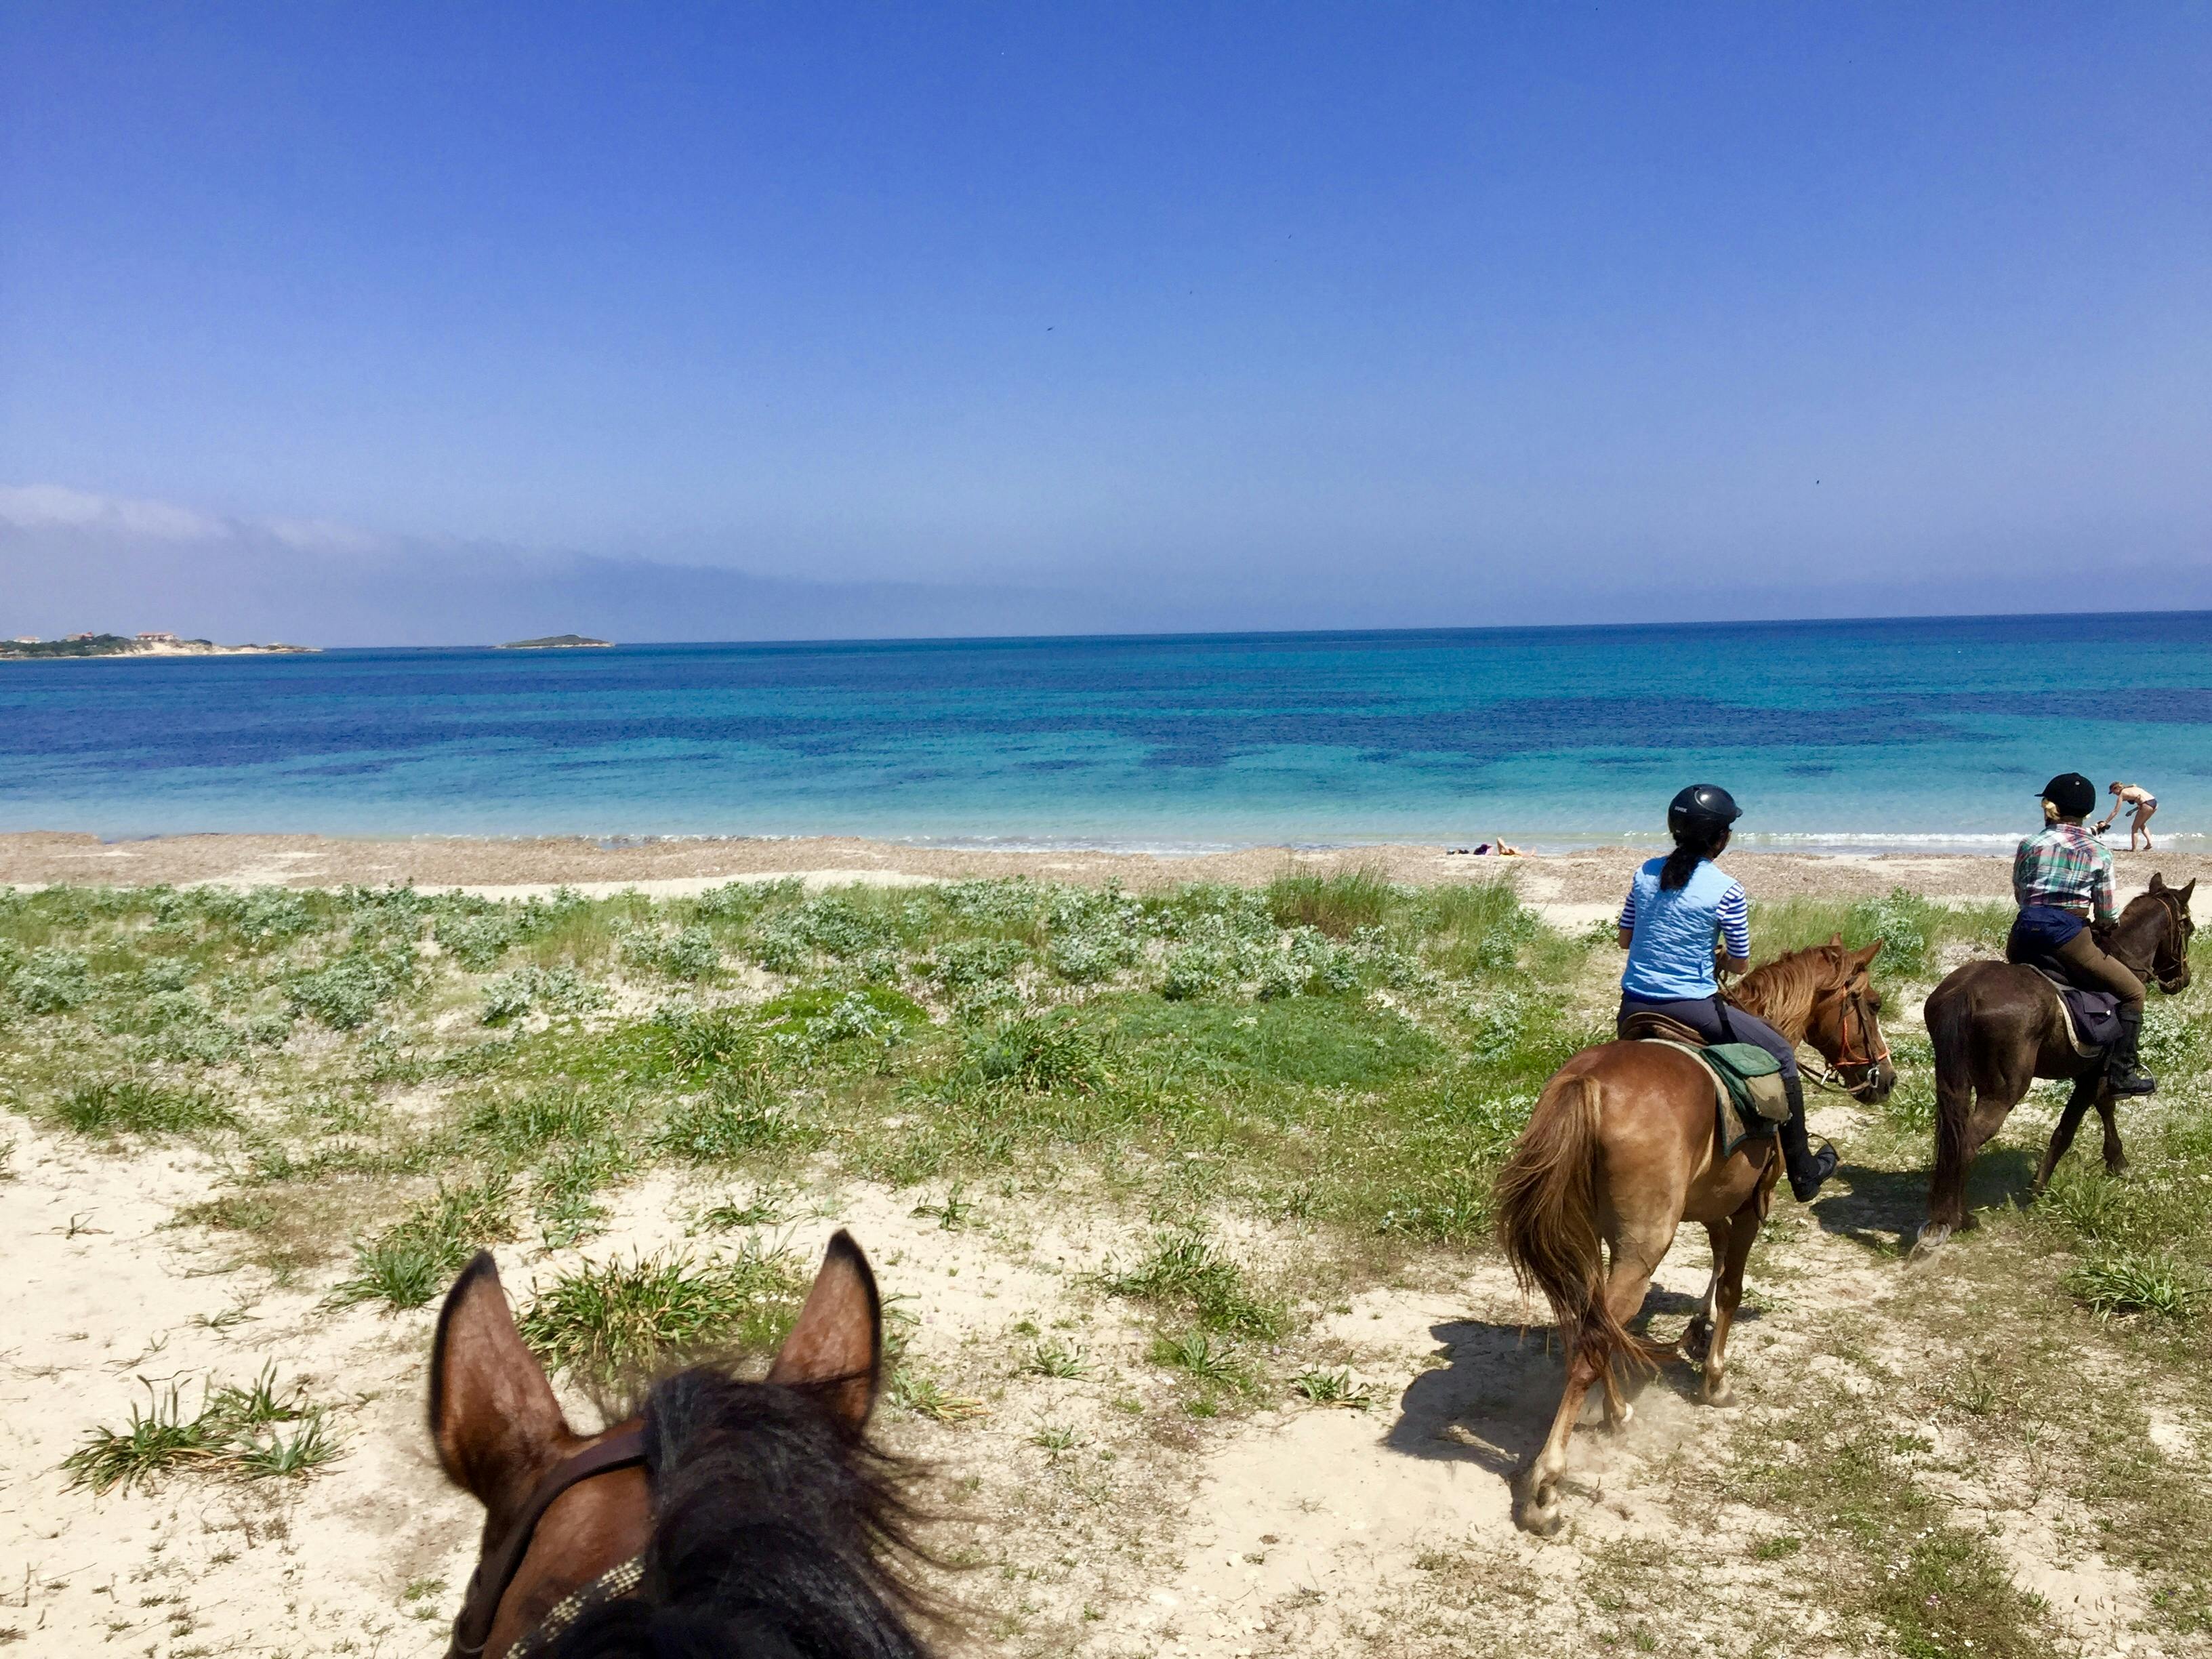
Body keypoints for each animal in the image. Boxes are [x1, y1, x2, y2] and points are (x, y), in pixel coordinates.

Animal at [1495, 942, 1893, 1539]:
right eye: (1870, 1003)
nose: (1885, 1079)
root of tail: (1590, 1084)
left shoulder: (1711, 1205)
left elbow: (1717, 1259)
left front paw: (1697, 1331)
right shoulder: (1752, 1206)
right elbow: (1732, 1286)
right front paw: (1716, 1378)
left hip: (1597, 1241)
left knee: (1597, 1325)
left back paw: (1618, 1414)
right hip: (1644, 1248)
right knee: (1595, 1340)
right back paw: (1547, 1489)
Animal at [1920, 876, 2194, 1256]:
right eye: (2189, 928)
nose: (2183, 979)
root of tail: (1967, 992)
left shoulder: (2093, 1073)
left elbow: (2104, 1108)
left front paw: (2116, 1161)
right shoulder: (2094, 1075)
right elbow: (2068, 1129)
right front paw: (2039, 1188)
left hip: (1955, 1081)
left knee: (1954, 1138)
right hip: (2003, 1092)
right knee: (1969, 1141)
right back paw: (1961, 1219)